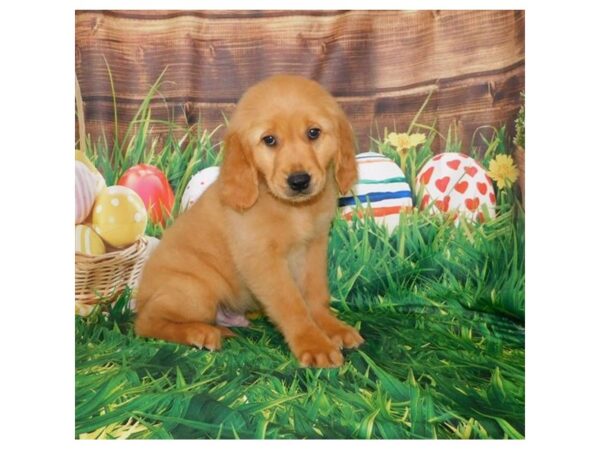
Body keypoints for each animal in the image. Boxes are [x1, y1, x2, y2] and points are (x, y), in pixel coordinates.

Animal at [134, 74, 364, 368]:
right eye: (269, 140)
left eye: (314, 133)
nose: (299, 181)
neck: (293, 209)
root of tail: (140, 296)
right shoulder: (262, 259)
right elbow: (292, 303)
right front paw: (313, 343)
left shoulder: (314, 247)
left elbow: (315, 294)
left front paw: (331, 328)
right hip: (196, 291)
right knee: (145, 322)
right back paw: (201, 332)